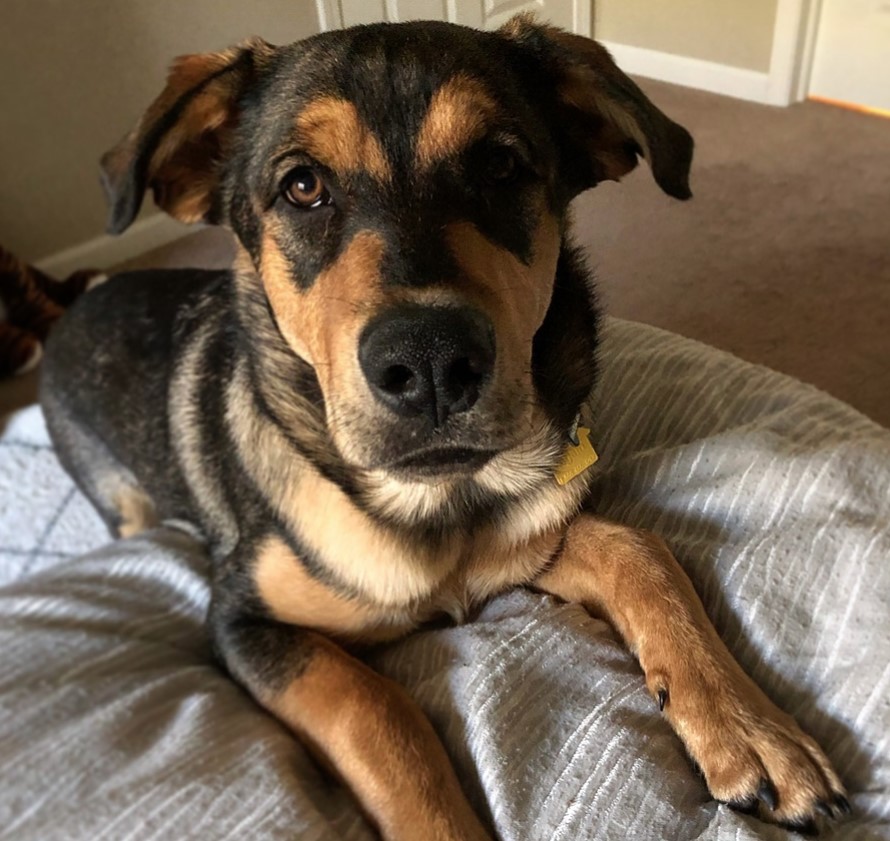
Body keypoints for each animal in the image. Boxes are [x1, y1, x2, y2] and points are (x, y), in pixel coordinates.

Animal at [41, 14, 848, 840]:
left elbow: (641, 549)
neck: (445, 500)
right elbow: (371, 706)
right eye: (302, 186)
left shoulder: (528, 537)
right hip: (118, 496)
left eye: (499, 163)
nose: (429, 361)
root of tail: (81, 301)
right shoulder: (243, 619)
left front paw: (751, 729)